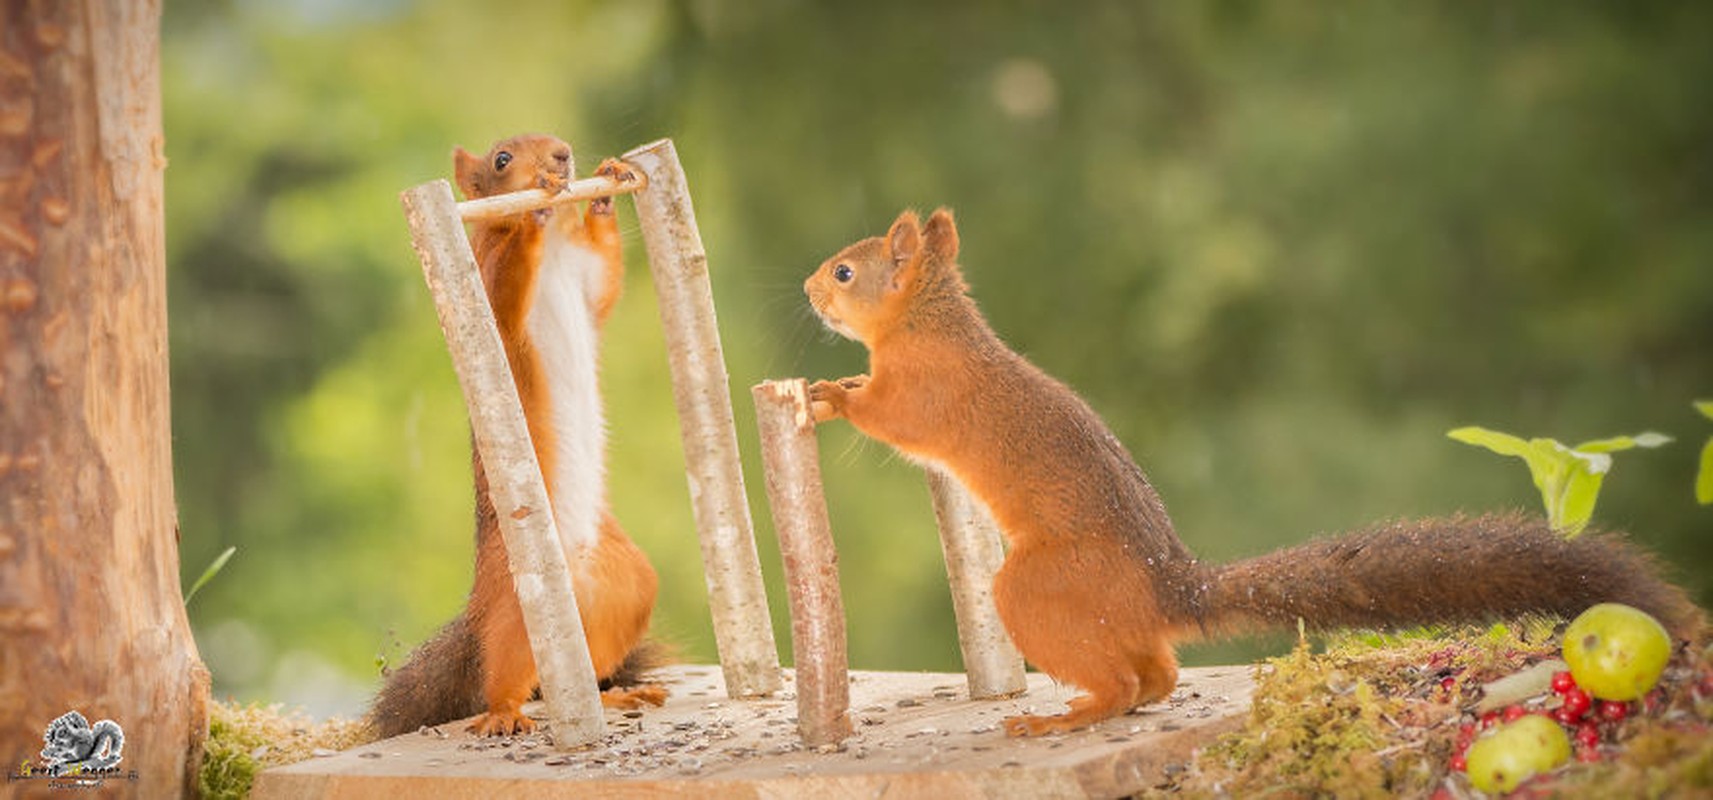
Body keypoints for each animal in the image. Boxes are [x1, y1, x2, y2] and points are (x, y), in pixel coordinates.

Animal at [371, 132, 664, 740]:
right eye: (502, 160)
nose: (562, 156)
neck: (554, 249)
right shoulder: (486, 285)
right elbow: (506, 287)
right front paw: (535, 204)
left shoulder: (586, 280)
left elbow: (606, 284)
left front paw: (606, 185)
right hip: (517, 602)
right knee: (508, 666)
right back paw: (504, 711)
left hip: (627, 584)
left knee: (584, 658)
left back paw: (616, 696)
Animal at [801, 208, 1699, 740]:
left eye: (845, 272)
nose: (808, 288)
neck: (928, 325)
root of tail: (1166, 586)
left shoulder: (923, 394)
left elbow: (888, 418)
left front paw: (828, 395)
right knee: (1156, 672)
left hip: (1033, 589)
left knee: (1123, 680)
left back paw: (1063, 718)